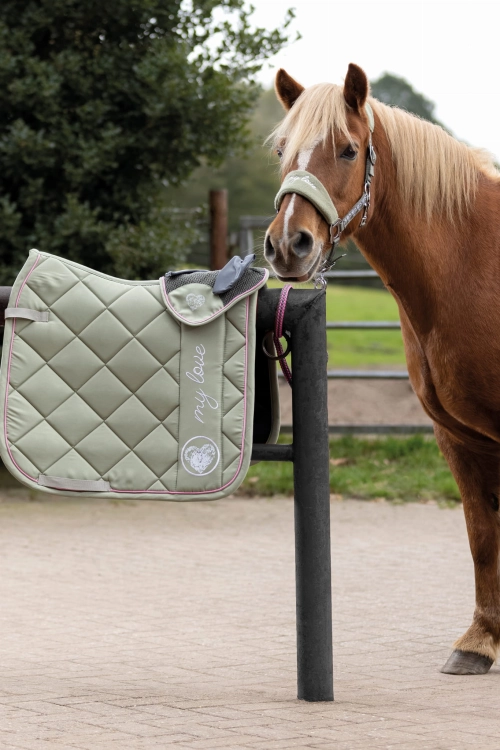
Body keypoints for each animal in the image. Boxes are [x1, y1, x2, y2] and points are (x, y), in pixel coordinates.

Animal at [265, 63, 500, 676]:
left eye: (349, 150)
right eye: (281, 150)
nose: (288, 244)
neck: (476, 262)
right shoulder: (456, 436)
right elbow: (481, 534)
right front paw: (479, 642)